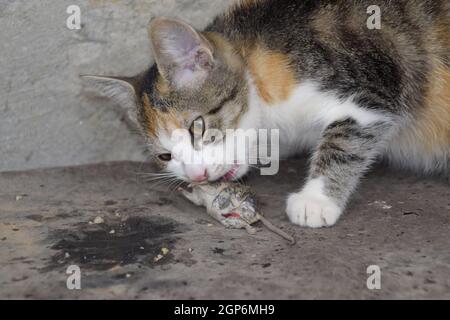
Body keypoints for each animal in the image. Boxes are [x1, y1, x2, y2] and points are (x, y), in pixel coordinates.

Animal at [85, 0, 450, 230]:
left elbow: (346, 138)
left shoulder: (374, 82)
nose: (197, 176)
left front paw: (316, 199)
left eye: (197, 126)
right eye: (164, 156)